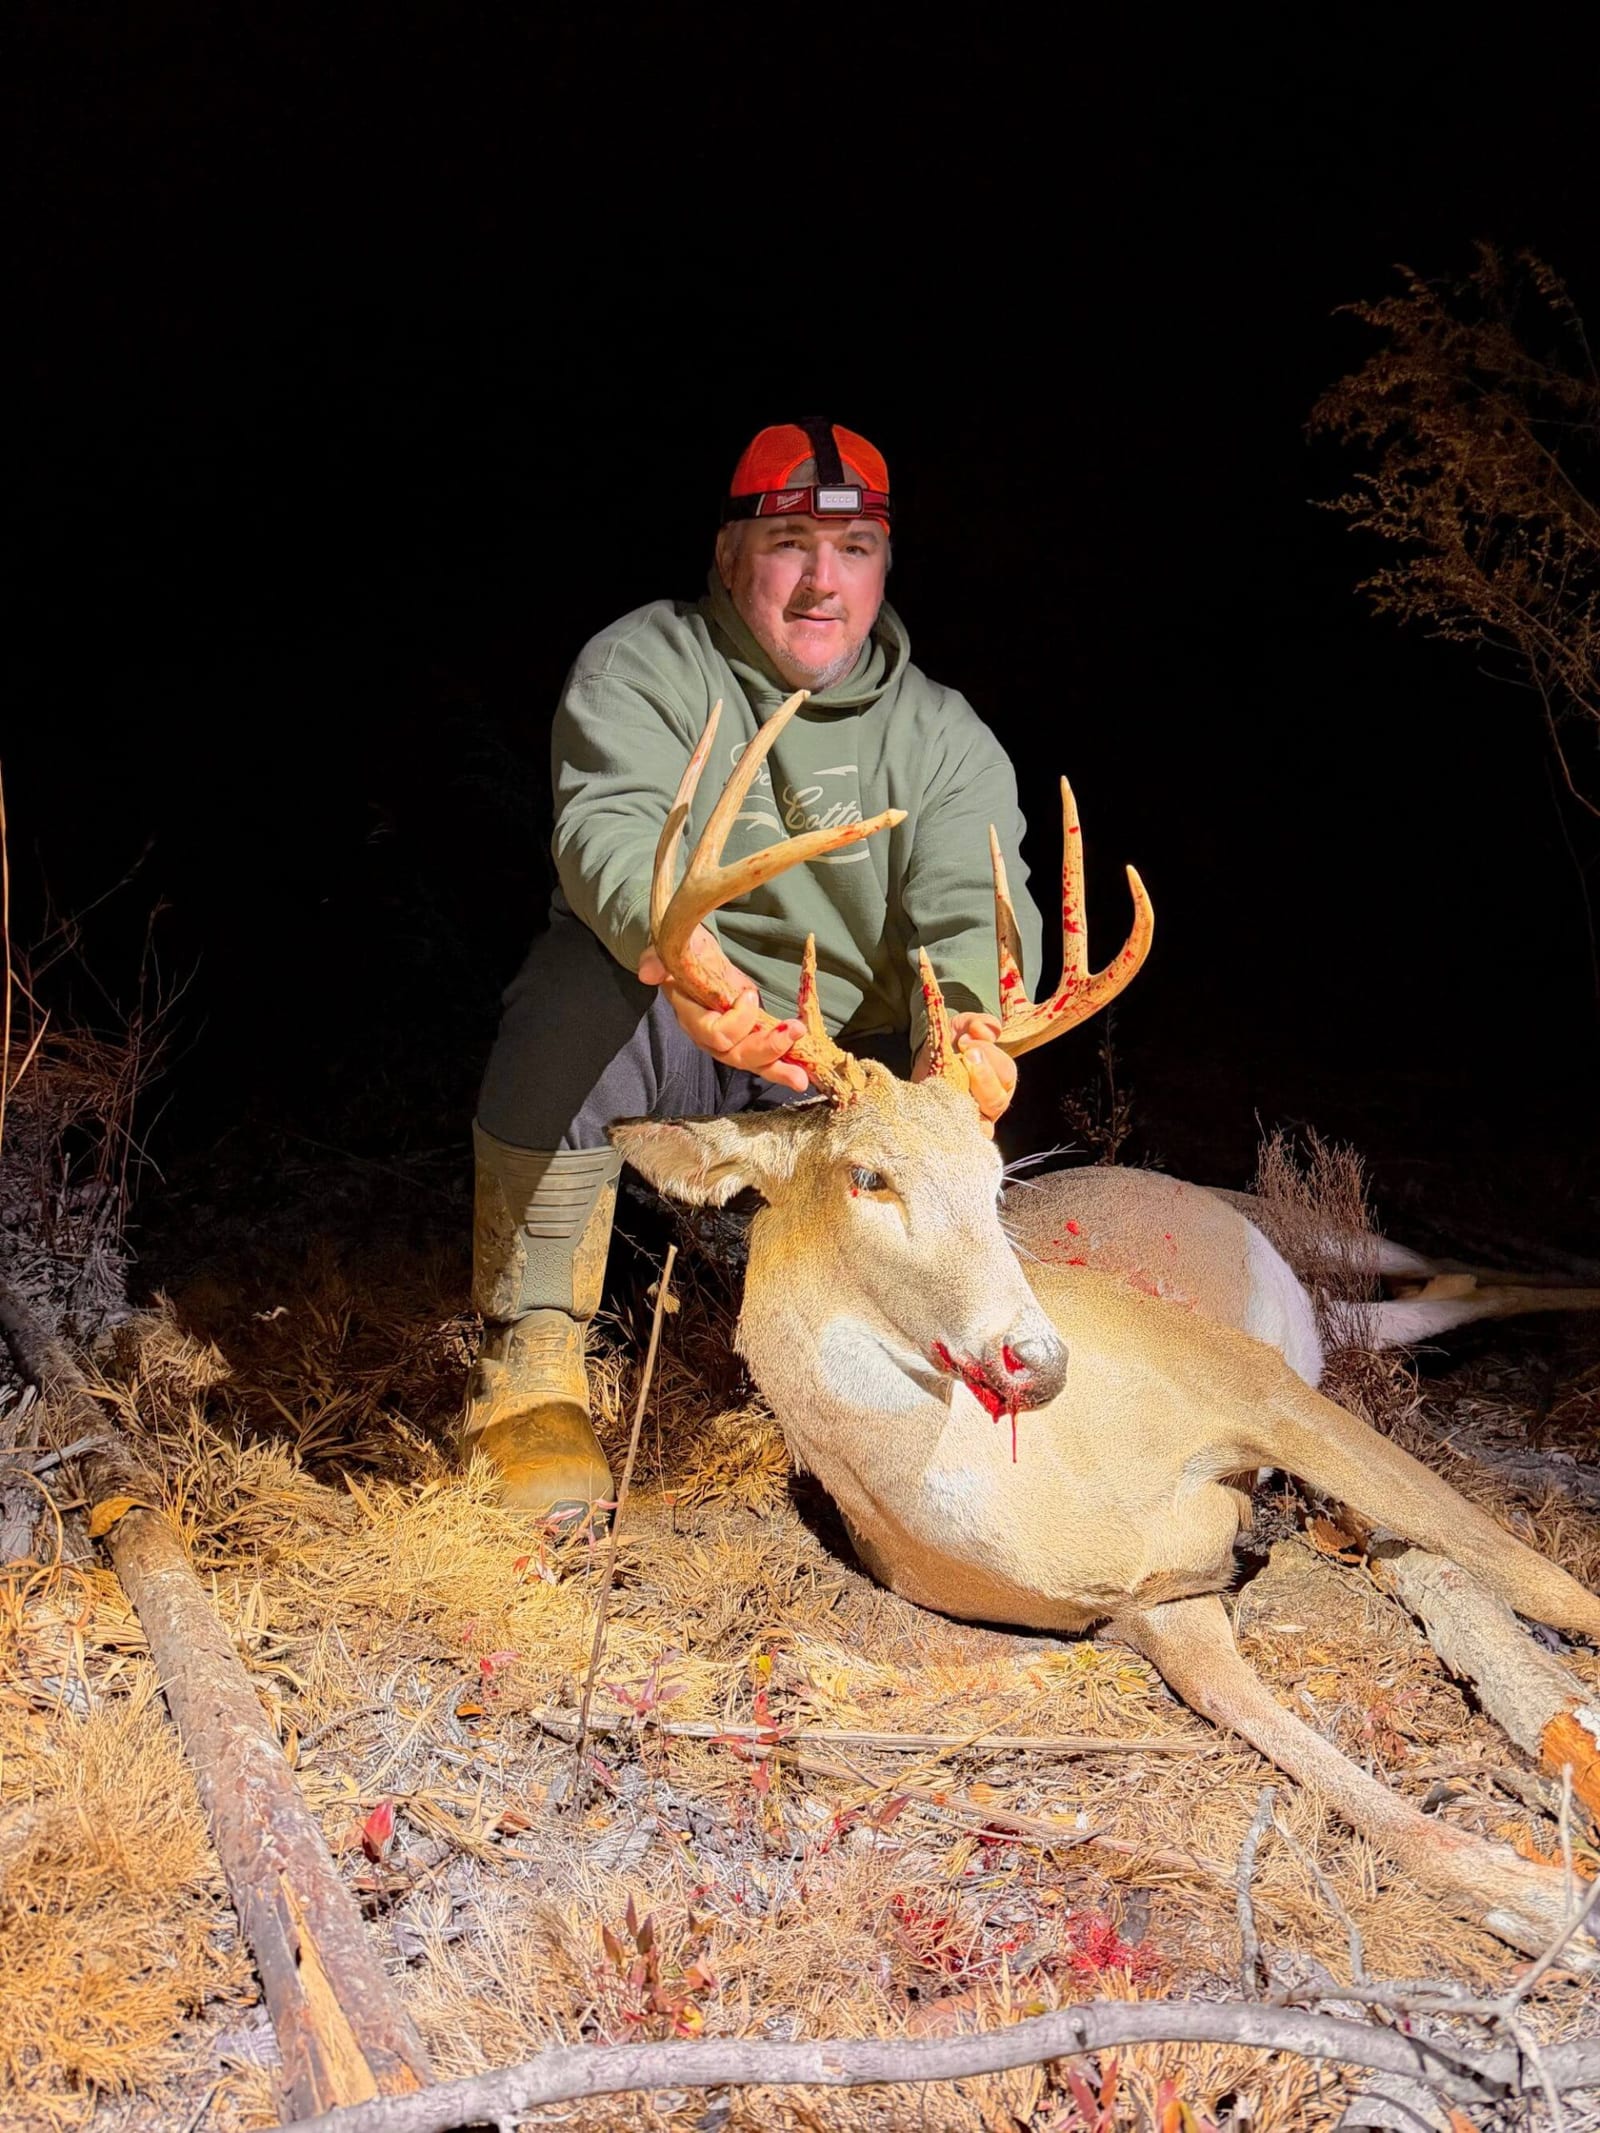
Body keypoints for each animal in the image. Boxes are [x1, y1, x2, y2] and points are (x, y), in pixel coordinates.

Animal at [611, 690, 1600, 1965]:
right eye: (866, 1175)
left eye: (996, 1175)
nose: (1037, 1356)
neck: (1050, 1499)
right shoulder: (1156, 1611)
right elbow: (1320, 1765)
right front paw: (1543, 1904)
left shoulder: (1253, 1386)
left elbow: (1538, 1574)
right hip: (1345, 1314)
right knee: (1459, 1294)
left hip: (1313, 1241)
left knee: (1471, 1270)